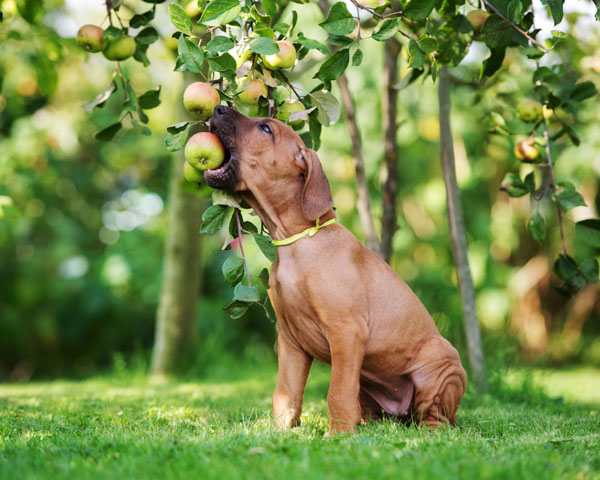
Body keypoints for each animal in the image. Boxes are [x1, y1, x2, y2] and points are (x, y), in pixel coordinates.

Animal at [207, 106, 468, 436]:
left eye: (266, 128)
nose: (219, 108)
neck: (298, 243)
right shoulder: (290, 340)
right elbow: (286, 393)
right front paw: (280, 432)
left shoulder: (347, 332)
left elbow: (337, 392)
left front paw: (338, 436)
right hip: (370, 384)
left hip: (441, 364)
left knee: (436, 417)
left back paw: (427, 431)